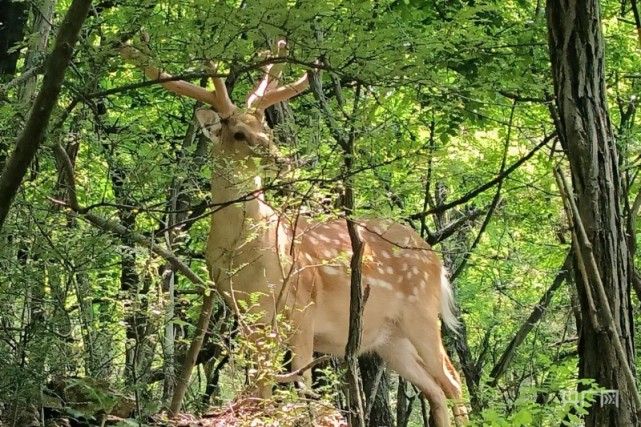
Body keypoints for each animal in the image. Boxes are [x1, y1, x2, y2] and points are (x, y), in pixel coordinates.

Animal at [120, 41, 468, 427]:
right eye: (238, 133)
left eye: (266, 129)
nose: (278, 158)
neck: (249, 259)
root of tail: (436, 259)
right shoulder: (247, 316)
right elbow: (262, 388)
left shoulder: (303, 308)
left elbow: (301, 384)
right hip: (389, 339)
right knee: (436, 389)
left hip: (421, 312)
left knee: (453, 382)